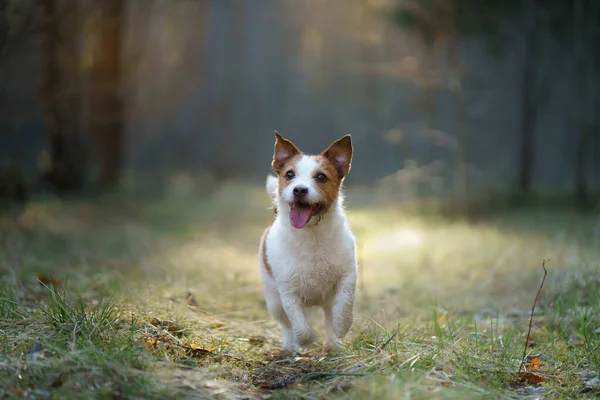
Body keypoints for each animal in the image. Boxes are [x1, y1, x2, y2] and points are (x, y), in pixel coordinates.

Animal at [258, 132, 356, 354]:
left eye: (321, 177)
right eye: (289, 174)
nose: (299, 190)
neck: (312, 235)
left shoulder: (348, 274)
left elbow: (345, 303)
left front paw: (342, 326)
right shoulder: (288, 292)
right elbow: (299, 325)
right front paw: (305, 340)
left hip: (327, 301)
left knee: (328, 317)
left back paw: (333, 343)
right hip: (274, 302)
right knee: (286, 324)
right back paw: (290, 346)